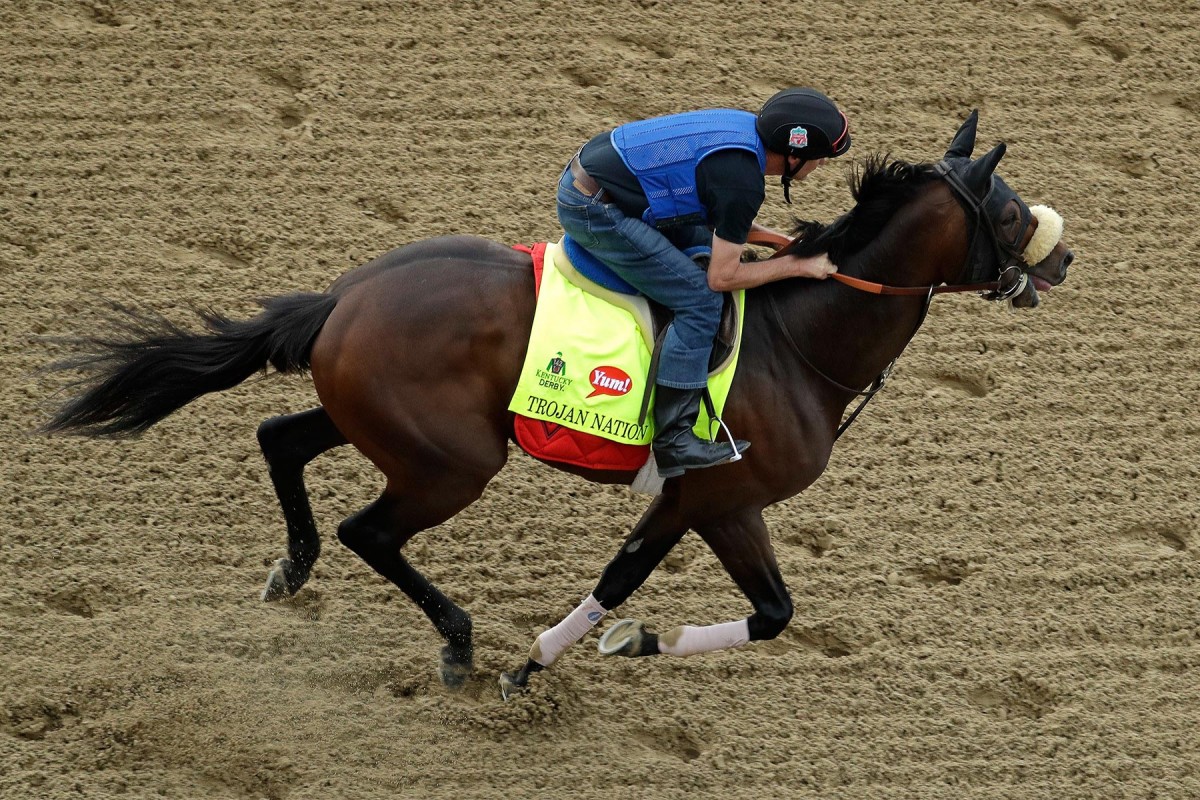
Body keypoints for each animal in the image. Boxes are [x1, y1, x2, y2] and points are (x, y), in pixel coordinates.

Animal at [41, 112, 1073, 697]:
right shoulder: (712, 495)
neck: (799, 341)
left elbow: (767, 611)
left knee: (279, 438)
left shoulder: (711, 503)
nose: (1063, 257)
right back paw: (456, 643)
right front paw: (546, 658)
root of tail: (341, 297)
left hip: (378, 421)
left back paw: (290, 571)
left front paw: (605, 644)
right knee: (368, 529)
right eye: (1010, 213)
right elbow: (653, 586)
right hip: (455, 461)